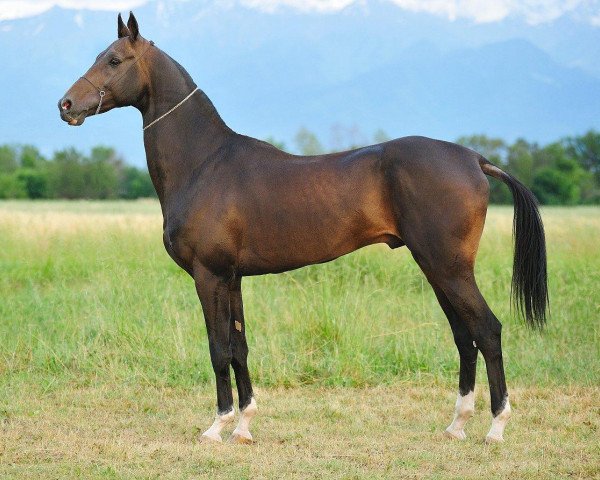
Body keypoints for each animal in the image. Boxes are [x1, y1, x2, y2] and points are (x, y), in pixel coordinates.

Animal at [58, 12, 548, 446]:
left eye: (114, 60)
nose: (65, 105)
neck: (205, 163)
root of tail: (474, 159)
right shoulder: (232, 278)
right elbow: (239, 348)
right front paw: (244, 426)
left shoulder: (208, 276)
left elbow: (218, 349)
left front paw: (217, 427)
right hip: (437, 269)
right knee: (465, 336)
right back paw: (456, 425)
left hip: (448, 268)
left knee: (487, 331)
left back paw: (495, 428)